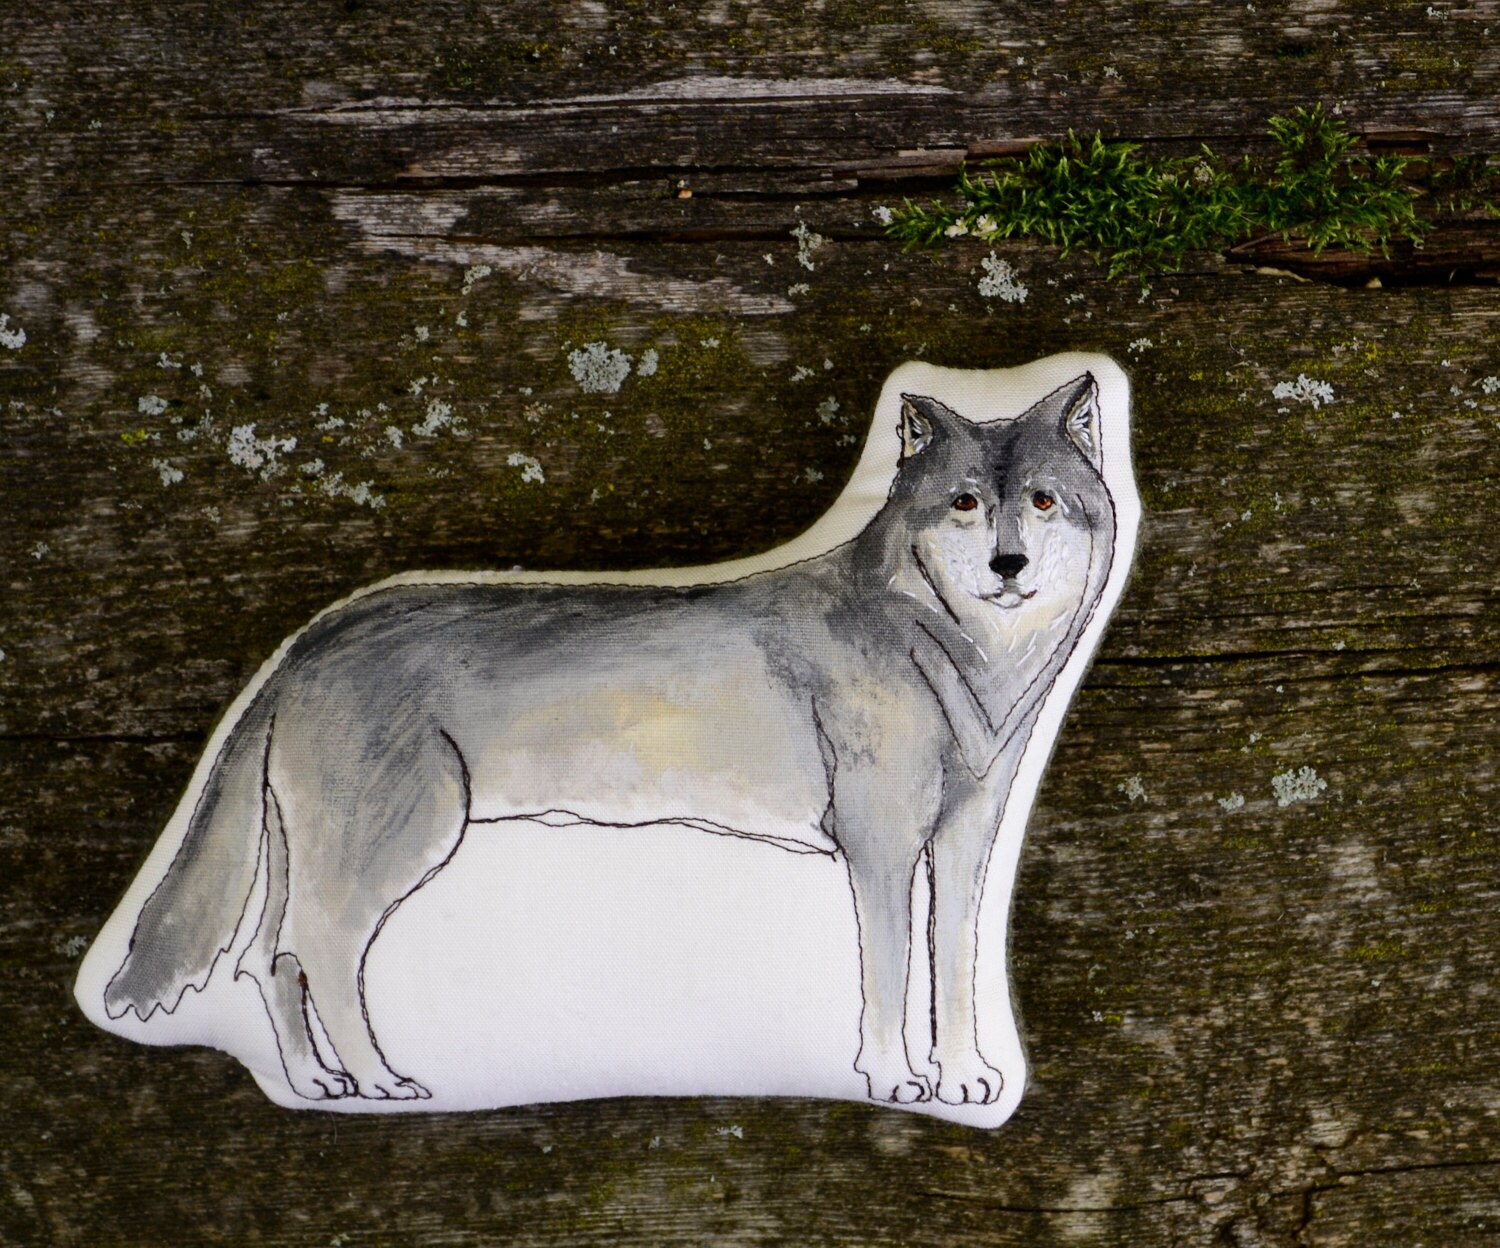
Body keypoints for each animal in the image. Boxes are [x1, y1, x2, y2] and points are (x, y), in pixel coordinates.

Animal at [98, 372, 1116, 1108]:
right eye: (964, 504)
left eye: (1043, 501)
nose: (1009, 566)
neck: (962, 655)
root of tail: (313, 635)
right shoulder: (879, 847)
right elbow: (892, 975)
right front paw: (898, 1079)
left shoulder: (965, 838)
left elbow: (956, 967)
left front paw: (967, 1079)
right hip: (397, 844)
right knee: (319, 950)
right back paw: (380, 1081)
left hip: (322, 851)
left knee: (268, 957)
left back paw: (319, 1086)